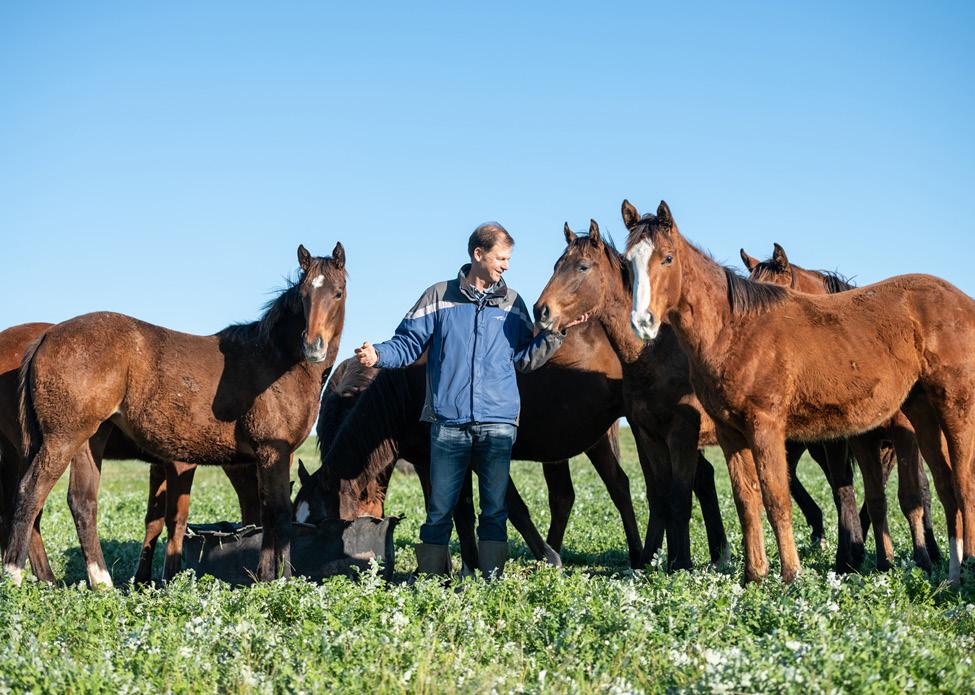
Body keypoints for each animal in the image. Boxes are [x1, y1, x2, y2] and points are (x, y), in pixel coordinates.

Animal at [3, 243, 345, 585]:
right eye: (303, 295)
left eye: (338, 292)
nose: (313, 346)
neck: (276, 361)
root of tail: (47, 337)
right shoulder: (270, 452)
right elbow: (278, 515)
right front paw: (278, 579)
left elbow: (265, 515)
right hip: (62, 439)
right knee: (30, 493)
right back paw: (16, 575)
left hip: (88, 440)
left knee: (82, 501)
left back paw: (102, 584)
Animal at [741, 244, 942, 570]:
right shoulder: (839, 443)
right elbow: (844, 490)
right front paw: (848, 555)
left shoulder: (897, 438)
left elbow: (908, 492)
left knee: (919, 488)